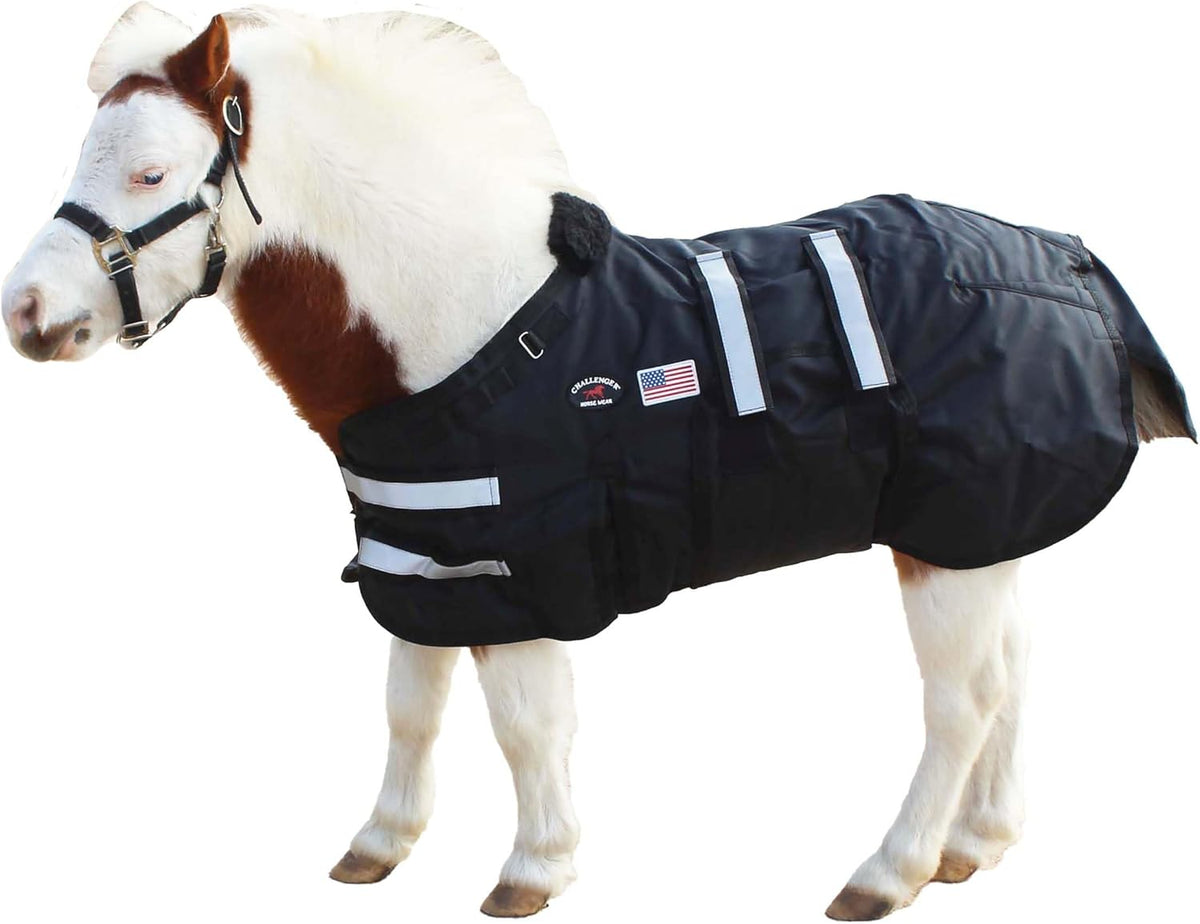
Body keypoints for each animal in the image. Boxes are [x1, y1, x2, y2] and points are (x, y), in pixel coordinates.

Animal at [2, 5, 1194, 920]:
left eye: (150, 171)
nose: (27, 314)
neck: (465, 325)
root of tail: (1071, 263)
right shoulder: (428, 559)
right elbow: (410, 707)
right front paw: (380, 845)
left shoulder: (525, 574)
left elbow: (528, 728)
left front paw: (535, 869)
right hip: (979, 537)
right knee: (1013, 672)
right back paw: (975, 846)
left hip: (944, 540)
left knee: (960, 699)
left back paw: (889, 871)